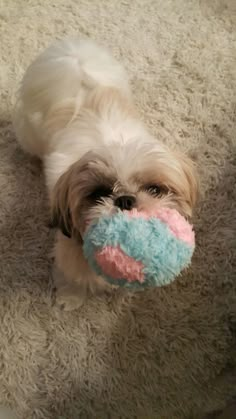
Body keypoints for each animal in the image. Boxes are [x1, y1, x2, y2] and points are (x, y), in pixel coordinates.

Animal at [12, 38, 197, 312]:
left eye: (154, 189)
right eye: (99, 193)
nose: (126, 199)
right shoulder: (68, 251)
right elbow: (71, 277)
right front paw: (70, 298)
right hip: (30, 136)